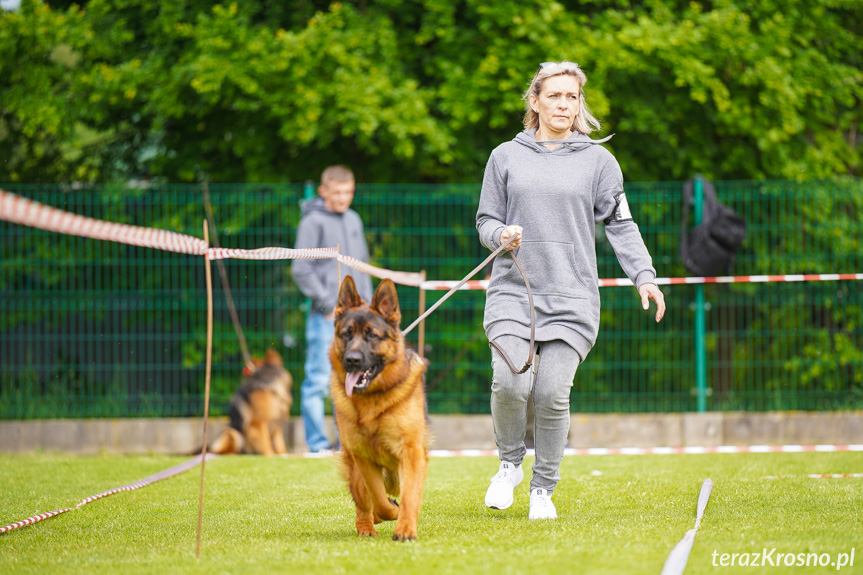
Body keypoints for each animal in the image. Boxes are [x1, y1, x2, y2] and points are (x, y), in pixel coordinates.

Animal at [330, 276, 430, 544]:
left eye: (372, 336)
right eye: (346, 334)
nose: (352, 360)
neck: (373, 400)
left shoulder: (411, 452)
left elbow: (408, 496)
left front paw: (405, 528)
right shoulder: (364, 459)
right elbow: (379, 501)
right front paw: (391, 512)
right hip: (356, 473)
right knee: (365, 506)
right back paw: (367, 526)